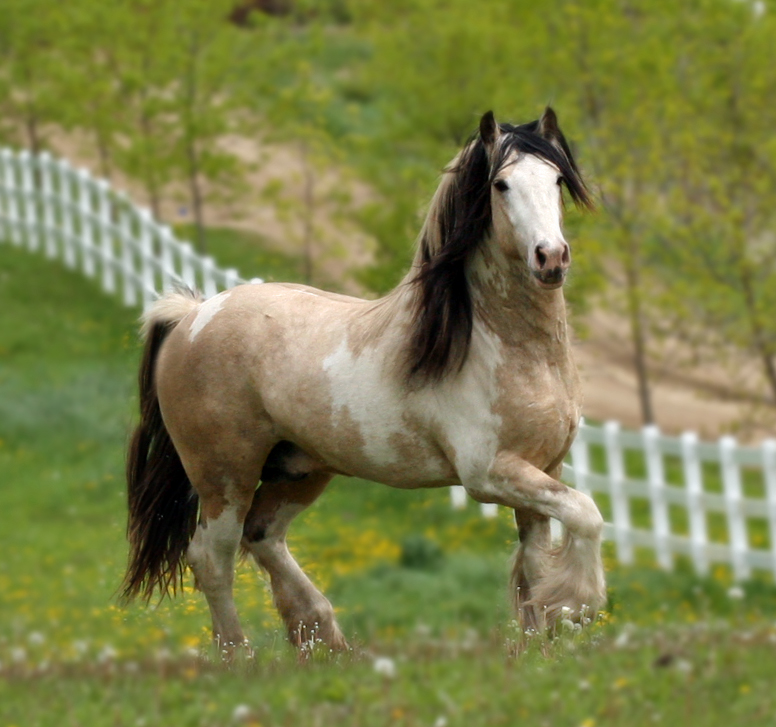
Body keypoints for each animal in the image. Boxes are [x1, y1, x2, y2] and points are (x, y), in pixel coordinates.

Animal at [119, 108, 608, 656]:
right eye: (500, 184)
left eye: (557, 180)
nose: (551, 258)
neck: (508, 350)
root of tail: (192, 316)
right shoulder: (490, 473)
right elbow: (586, 514)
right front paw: (578, 606)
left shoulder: (543, 468)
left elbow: (535, 564)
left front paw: (541, 645)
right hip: (224, 475)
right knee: (212, 558)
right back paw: (240, 658)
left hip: (299, 469)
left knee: (262, 535)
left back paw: (323, 639)